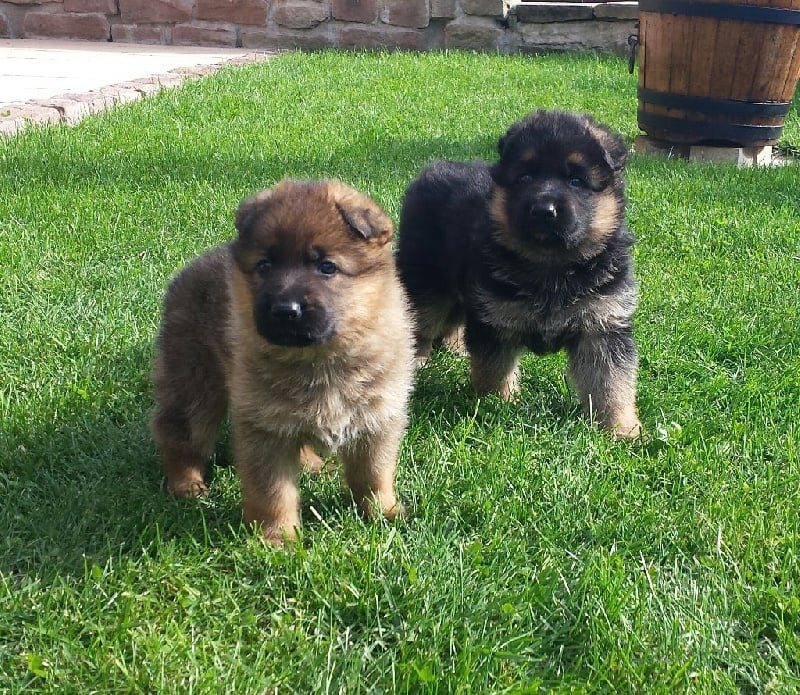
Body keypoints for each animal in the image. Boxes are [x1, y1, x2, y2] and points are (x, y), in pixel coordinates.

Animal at [150, 179, 416, 544]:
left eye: (327, 267)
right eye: (265, 265)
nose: (285, 310)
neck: (320, 359)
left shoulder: (377, 419)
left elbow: (373, 475)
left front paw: (382, 512)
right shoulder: (264, 429)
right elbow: (273, 492)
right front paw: (277, 537)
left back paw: (312, 465)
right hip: (194, 384)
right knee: (179, 433)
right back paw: (185, 483)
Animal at [396, 111, 640, 438]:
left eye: (576, 180)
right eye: (525, 177)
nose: (544, 210)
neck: (552, 266)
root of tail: (431, 170)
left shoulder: (602, 325)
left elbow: (611, 383)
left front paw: (621, 428)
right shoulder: (496, 320)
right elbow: (494, 370)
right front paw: (498, 405)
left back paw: (457, 348)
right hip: (427, 282)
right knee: (423, 321)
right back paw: (419, 358)